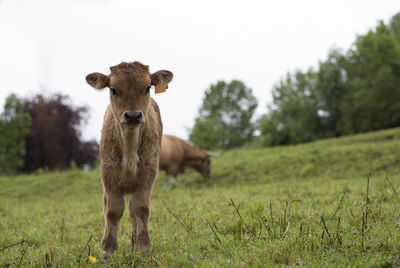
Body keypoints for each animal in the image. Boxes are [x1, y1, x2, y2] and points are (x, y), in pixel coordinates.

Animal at [85, 61, 173, 258]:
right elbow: (112, 211)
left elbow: (140, 208)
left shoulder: (148, 172)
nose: (133, 115)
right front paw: (107, 249)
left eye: (147, 87)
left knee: (134, 213)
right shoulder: (108, 174)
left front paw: (143, 246)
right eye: (114, 89)